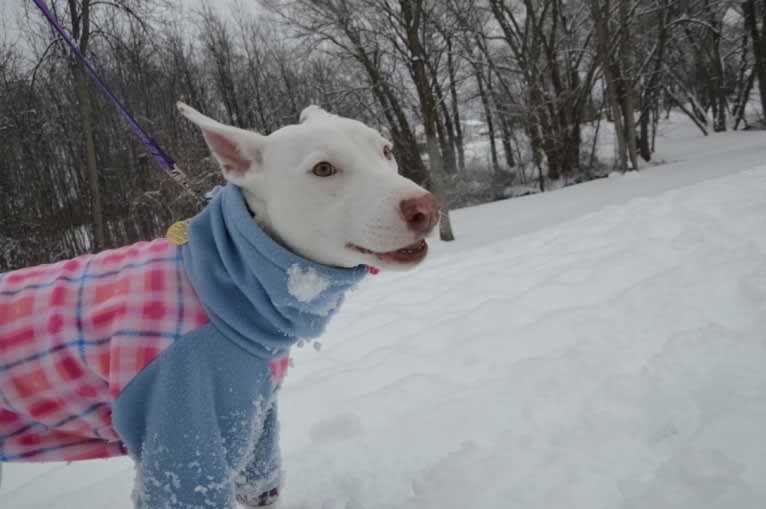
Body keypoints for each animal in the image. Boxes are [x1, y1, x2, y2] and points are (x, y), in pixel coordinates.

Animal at [1, 104, 438, 508]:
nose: (426, 207)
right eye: (324, 169)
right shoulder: (182, 440)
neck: (225, 284)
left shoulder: (255, 428)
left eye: (385, 150)